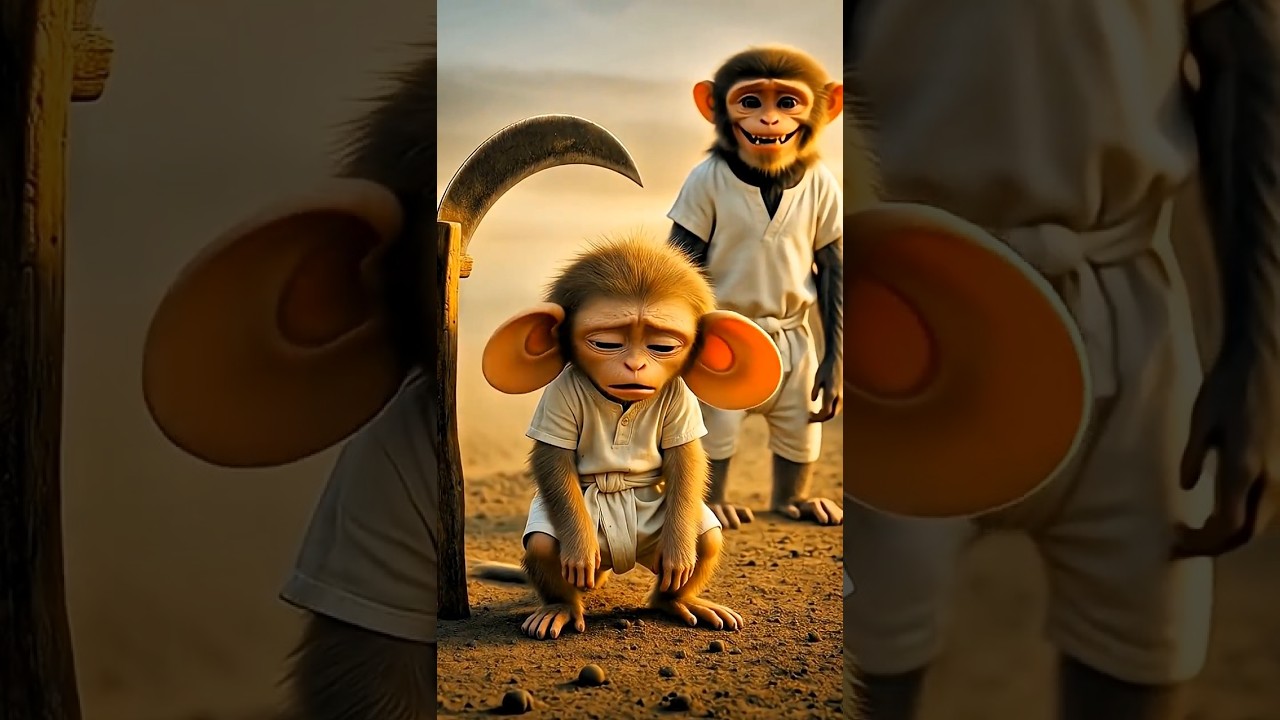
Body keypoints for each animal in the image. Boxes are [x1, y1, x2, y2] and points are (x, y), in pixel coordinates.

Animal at [477, 235, 785, 640]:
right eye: (607, 343)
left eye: (662, 347)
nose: (635, 365)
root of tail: (618, 560)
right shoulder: (558, 395)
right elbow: (552, 459)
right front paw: (578, 550)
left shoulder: (680, 399)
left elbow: (686, 458)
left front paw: (680, 554)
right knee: (544, 543)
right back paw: (561, 607)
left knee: (706, 539)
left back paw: (678, 601)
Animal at [666, 45, 848, 531]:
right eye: (749, 102)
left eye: (786, 102)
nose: (767, 120)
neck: (766, 176)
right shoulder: (697, 189)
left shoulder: (829, 191)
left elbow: (831, 263)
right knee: (718, 436)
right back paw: (718, 505)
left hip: (799, 379)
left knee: (799, 433)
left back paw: (795, 500)